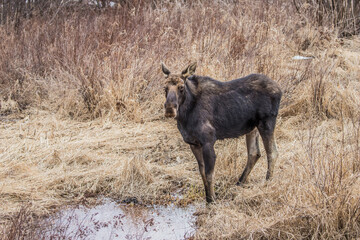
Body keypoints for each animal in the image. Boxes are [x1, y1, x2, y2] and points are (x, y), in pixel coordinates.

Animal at [162, 62, 282, 202]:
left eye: (181, 87)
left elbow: (209, 174)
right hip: (252, 128)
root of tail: (279, 89)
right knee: (254, 153)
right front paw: (208, 197)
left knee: (272, 152)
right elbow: (202, 172)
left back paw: (267, 182)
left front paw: (212, 199)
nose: (169, 109)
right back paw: (239, 182)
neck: (185, 116)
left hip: (267, 122)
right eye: (164, 87)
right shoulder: (193, 143)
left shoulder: (208, 141)